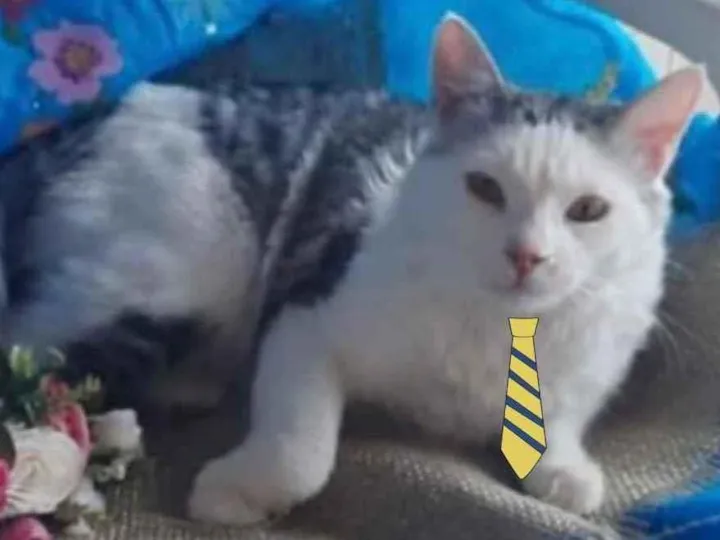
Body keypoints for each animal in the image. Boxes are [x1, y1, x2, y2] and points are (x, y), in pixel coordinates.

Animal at [187, 13, 704, 525]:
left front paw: (565, 468)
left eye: (589, 209)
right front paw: (233, 492)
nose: (527, 254)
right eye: (485, 188)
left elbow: (561, 412)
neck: (500, 326)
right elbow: (301, 455)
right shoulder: (304, 319)